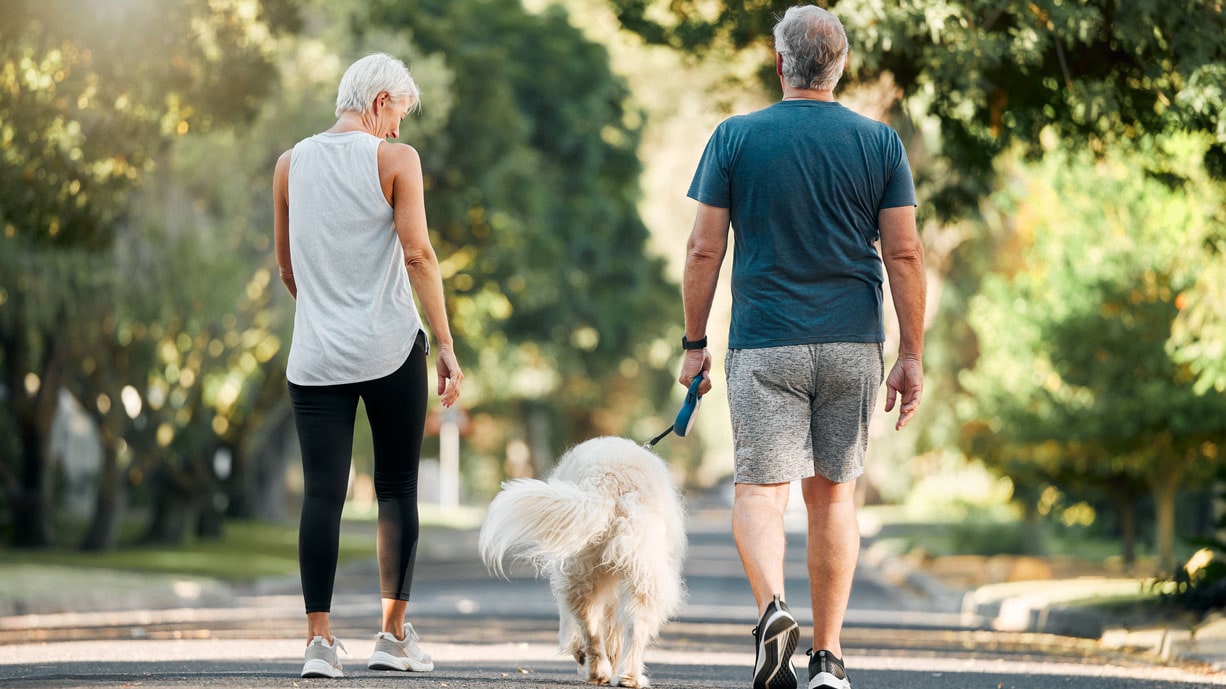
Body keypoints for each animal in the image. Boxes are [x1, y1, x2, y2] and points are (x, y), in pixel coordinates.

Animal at [480, 436, 691, 681]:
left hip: (595, 571)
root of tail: (609, 479)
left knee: (597, 624)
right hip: (626, 572)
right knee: (622, 624)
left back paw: (607, 671)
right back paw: (616, 672)